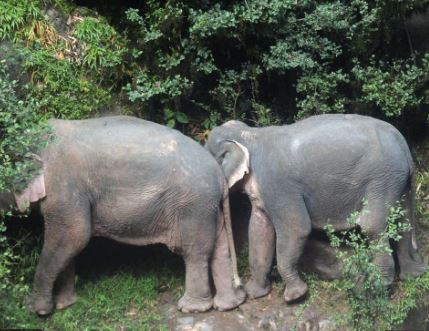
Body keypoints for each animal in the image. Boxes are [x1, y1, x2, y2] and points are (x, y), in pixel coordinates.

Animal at [3, 116, 246, 316]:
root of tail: (219, 173)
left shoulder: (63, 186)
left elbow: (73, 236)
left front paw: (37, 310)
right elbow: (70, 243)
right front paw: (65, 304)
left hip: (193, 205)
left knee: (195, 251)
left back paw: (192, 308)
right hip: (208, 206)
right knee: (220, 248)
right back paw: (227, 305)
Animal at [206, 114, 426, 304]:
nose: (239, 285)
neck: (250, 134)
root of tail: (404, 146)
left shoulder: (279, 185)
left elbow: (297, 228)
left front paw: (295, 296)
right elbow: (259, 231)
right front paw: (255, 293)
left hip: (382, 180)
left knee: (373, 226)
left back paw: (378, 287)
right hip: (397, 181)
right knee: (402, 222)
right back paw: (413, 274)